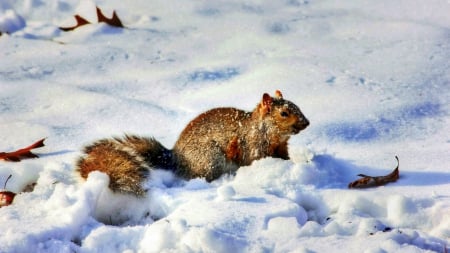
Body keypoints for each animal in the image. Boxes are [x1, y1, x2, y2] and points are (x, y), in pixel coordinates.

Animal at [77, 90, 310, 196]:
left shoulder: (281, 148)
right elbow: (255, 160)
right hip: (210, 159)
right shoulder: (252, 147)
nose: (306, 123)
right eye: (284, 113)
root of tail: (174, 157)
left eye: (297, 105)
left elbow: (285, 157)